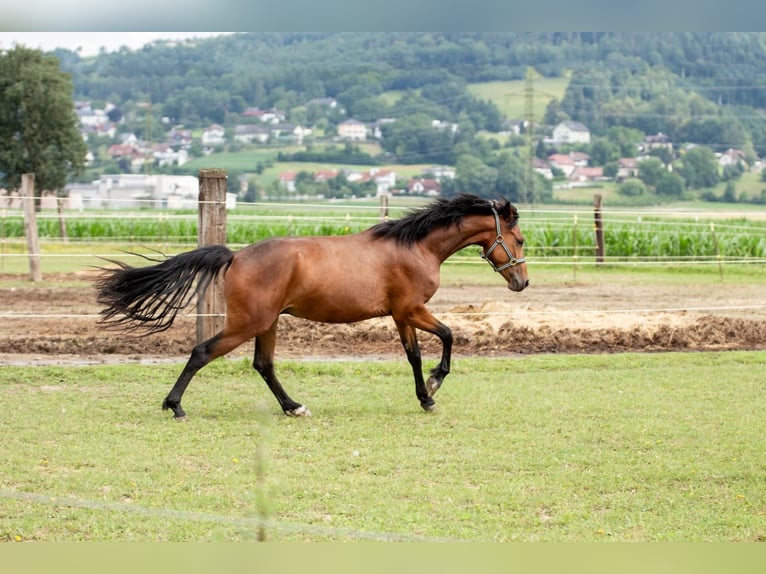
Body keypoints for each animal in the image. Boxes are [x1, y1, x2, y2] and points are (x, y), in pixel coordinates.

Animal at [94, 192, 528, 418]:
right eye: (521, 239)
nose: (522, 282)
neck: (415, 247)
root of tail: (235, 256)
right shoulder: (412, 310)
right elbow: (449, 336)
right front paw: (436, 385)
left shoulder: (400, 315)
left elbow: (414, 356)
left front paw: (426, 397)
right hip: (248, 323)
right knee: (202, 352)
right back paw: (176, 406)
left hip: (266, 324)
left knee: (263, 365)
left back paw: (293, 407)